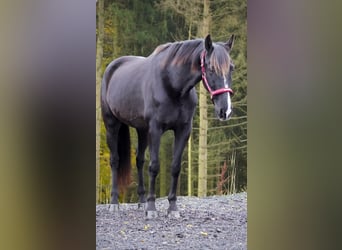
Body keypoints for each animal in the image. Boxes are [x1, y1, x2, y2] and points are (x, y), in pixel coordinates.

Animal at [101, 34, 235, 218]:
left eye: (232, 68)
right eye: (211, 68)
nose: (225, 110)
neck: (172, 85)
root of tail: (111, 68)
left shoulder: (183, 131)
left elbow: (175, 167)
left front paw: (172, 208)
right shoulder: (156, 130)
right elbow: (154, 166)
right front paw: (152, 208)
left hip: (142, 130)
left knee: (139, 160)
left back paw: (141, 201)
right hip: (112, 125)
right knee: (115, 160)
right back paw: (114, 203)